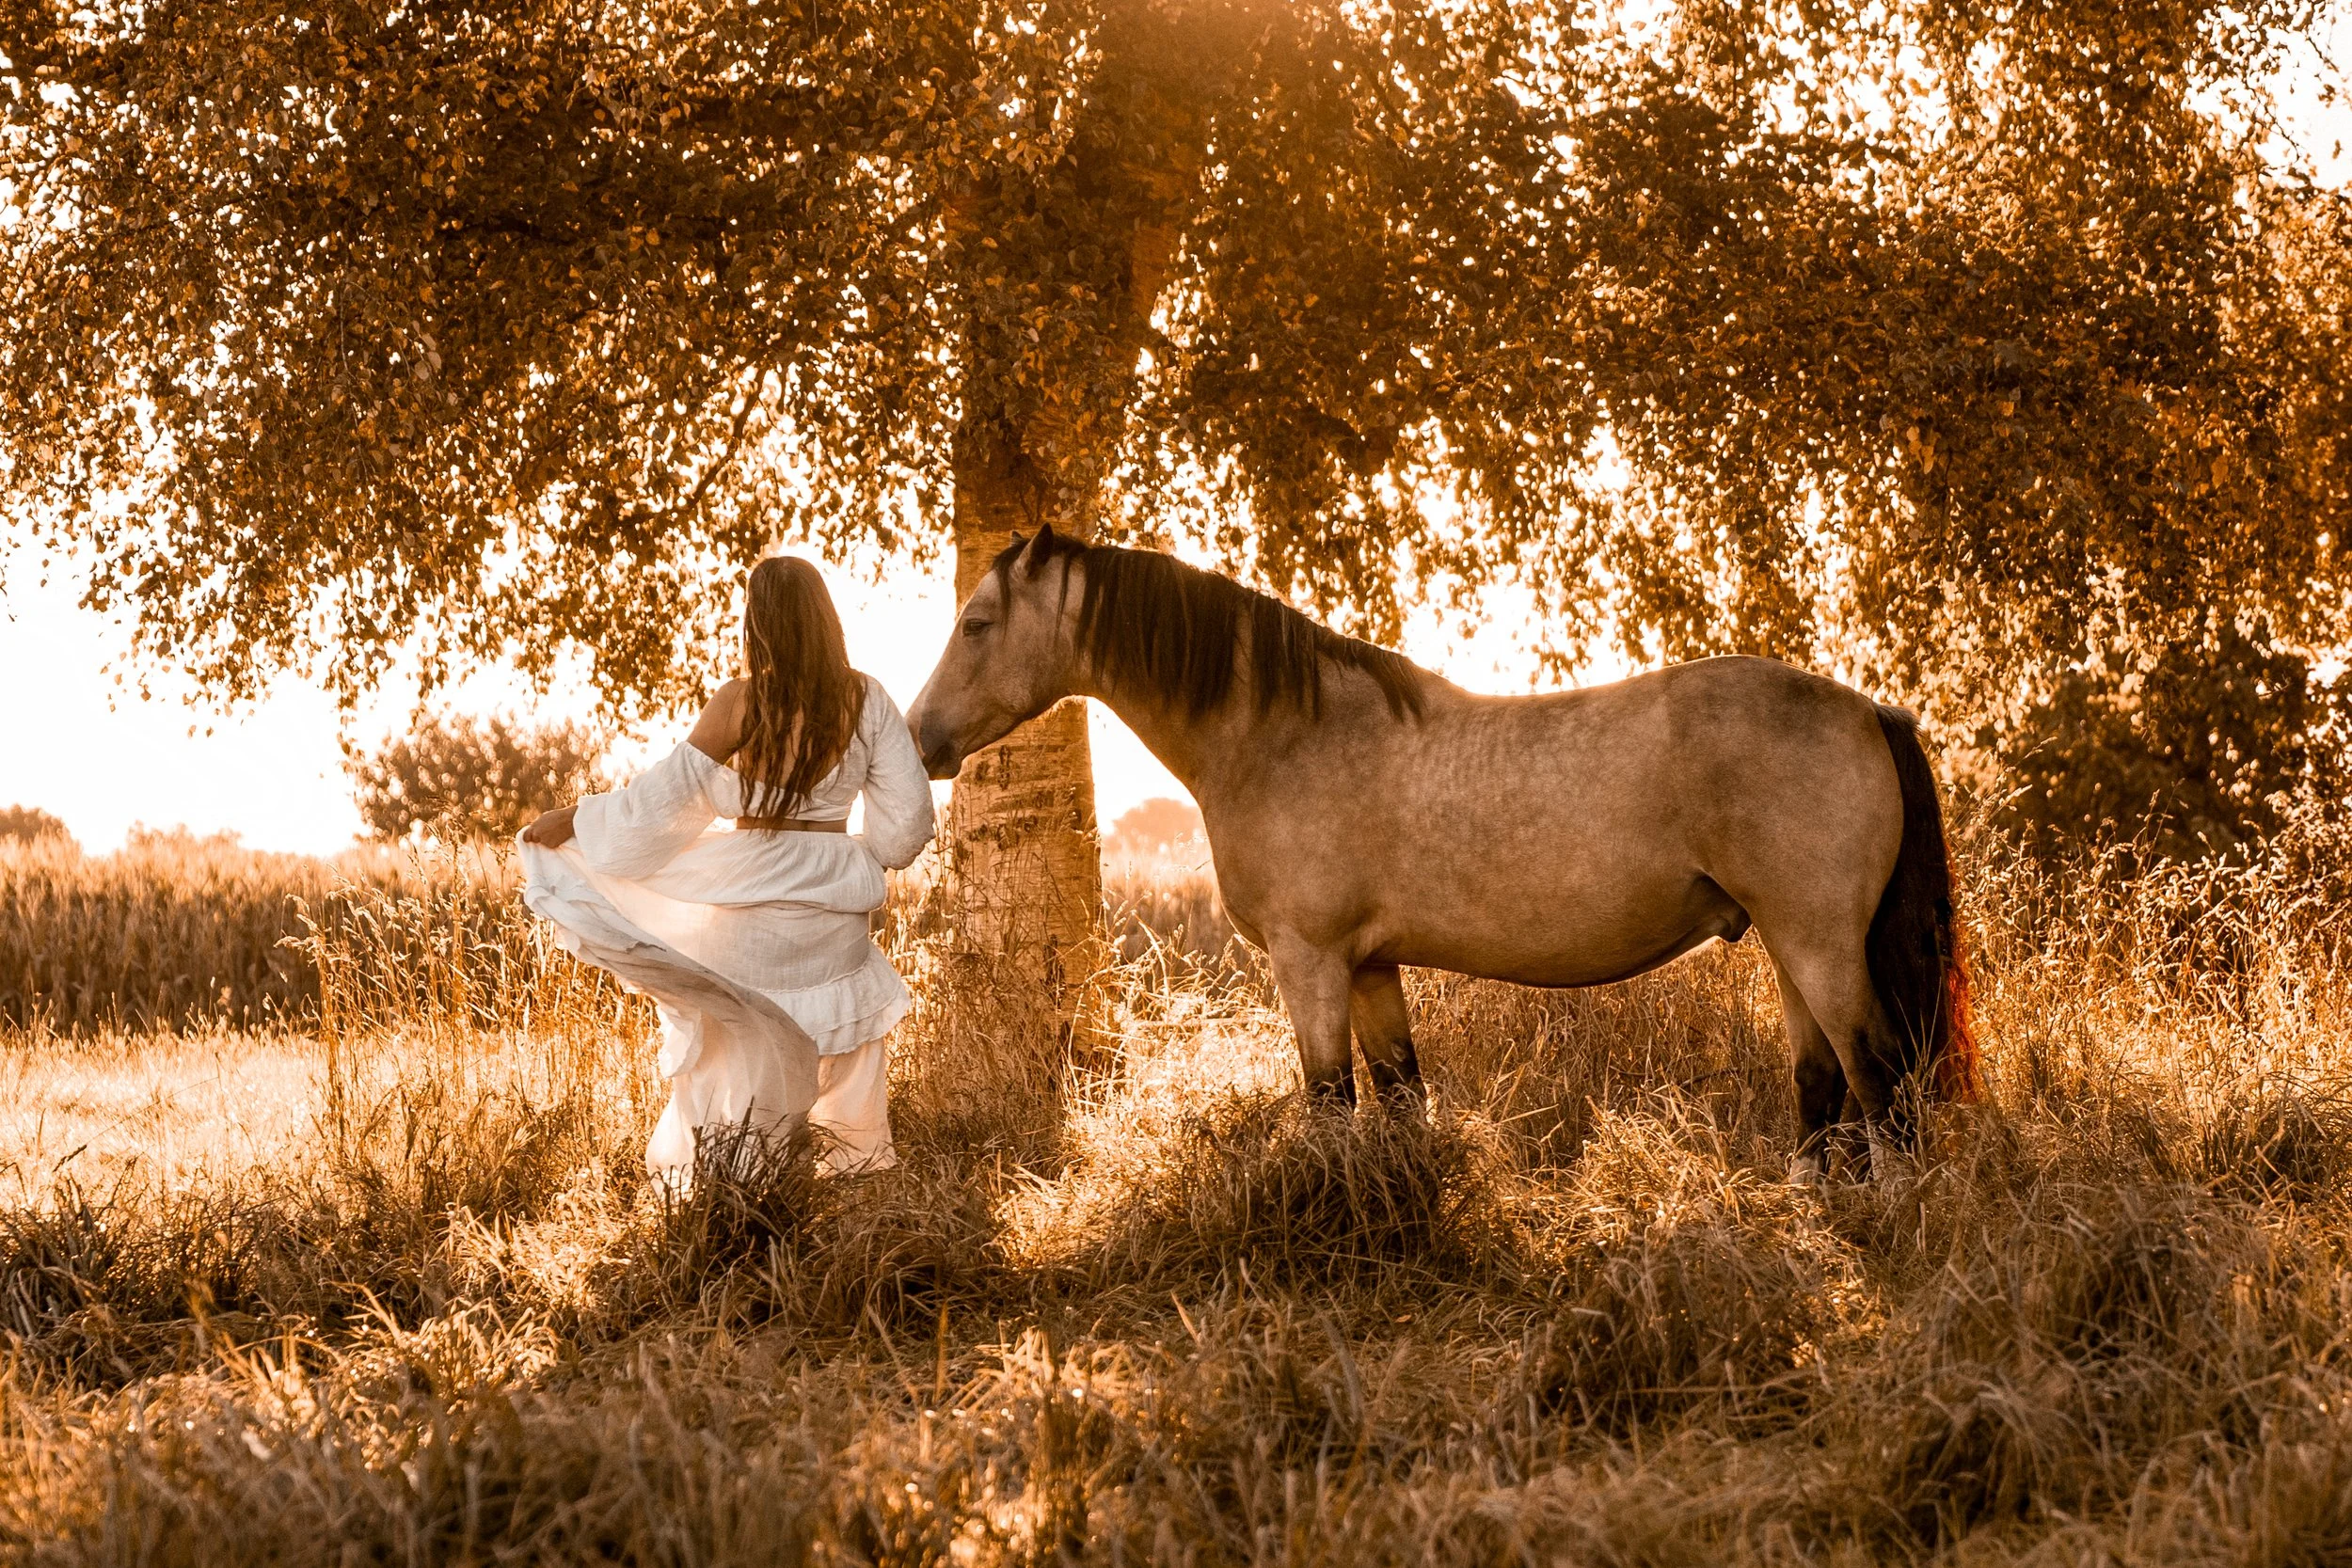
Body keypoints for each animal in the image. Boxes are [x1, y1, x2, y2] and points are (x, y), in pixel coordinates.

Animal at [906, 526, 1977, 1172]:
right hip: (1792, 944)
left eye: (977, 622)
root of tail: (1866, 707)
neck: (1284, 732)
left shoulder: (1310, 962)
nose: (921, 738)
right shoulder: (1371, 966)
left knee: (1880, 1077)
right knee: (1822, 1082)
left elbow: (1330, 1099)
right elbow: (1398, 1094)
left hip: (1822, 945)